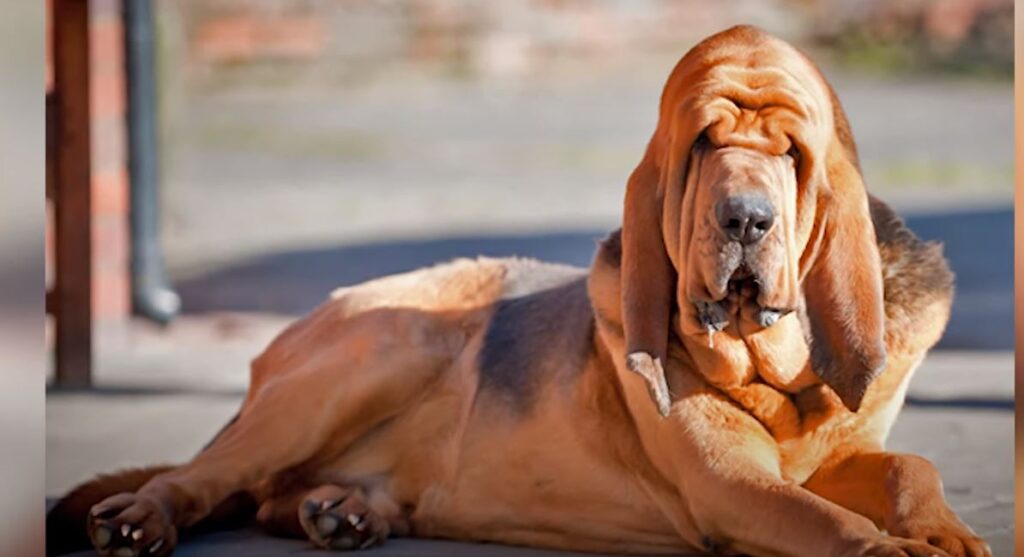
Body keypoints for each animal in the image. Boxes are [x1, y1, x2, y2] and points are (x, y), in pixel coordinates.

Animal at [49, 25, 991, 557]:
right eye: (703, 144)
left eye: (792, 153)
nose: (747, 218)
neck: (777, 376)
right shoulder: (732, 483)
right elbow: (826, 524)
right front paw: (889, 550)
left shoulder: (840, 455)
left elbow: (909, 463)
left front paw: (940, 529)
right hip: (378, 351)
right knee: (206, 475)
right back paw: (141, 519)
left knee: (275, 493)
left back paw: (342, 511)